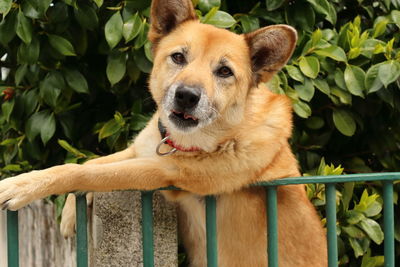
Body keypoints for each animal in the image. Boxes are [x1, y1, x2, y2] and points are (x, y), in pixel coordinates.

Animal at [0, 1, 328, 266]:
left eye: (224, 72)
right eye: (179, 57)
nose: (186, 96)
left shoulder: (162, 172)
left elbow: (82, 172)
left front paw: (21, 185)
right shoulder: (139, 150)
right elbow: (90, 163)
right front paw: (70, 212)